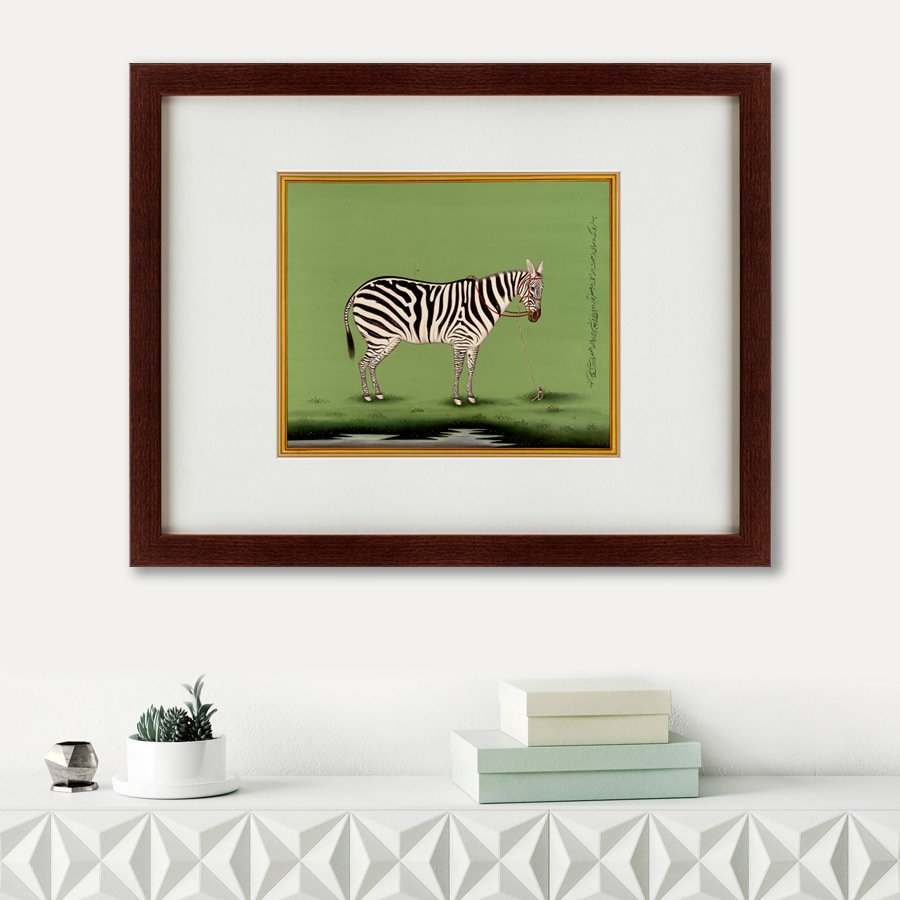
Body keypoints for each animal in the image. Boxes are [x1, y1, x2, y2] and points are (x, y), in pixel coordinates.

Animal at [343, 259, 543, 406]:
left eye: (543, 289)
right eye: (532, 288)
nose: (536, 317)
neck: (482, 301)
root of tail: (360, 289)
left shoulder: (475, 343)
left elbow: (471, 368)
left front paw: (471, 396)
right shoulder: (460, 340)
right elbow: (458, 368)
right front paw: (456, 398)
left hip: (388, 340)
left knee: (372, 364)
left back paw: (378, 394)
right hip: (377, 336)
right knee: (362, 363)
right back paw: (367, 395)